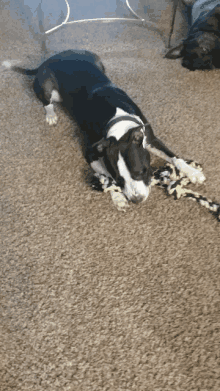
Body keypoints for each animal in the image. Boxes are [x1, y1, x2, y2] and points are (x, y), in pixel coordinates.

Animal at [3, 50, 205, 208]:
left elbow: (174, 157)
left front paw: (194, 173)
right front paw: (117, 196)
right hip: (47, 85)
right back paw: (51, 114)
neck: (118, 124)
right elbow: (105, 174)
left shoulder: (150, 138)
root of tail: (46, 60)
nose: (136, 200)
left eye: (142, 171)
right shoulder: (91, 152)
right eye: (119, 178)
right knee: (46, 101)